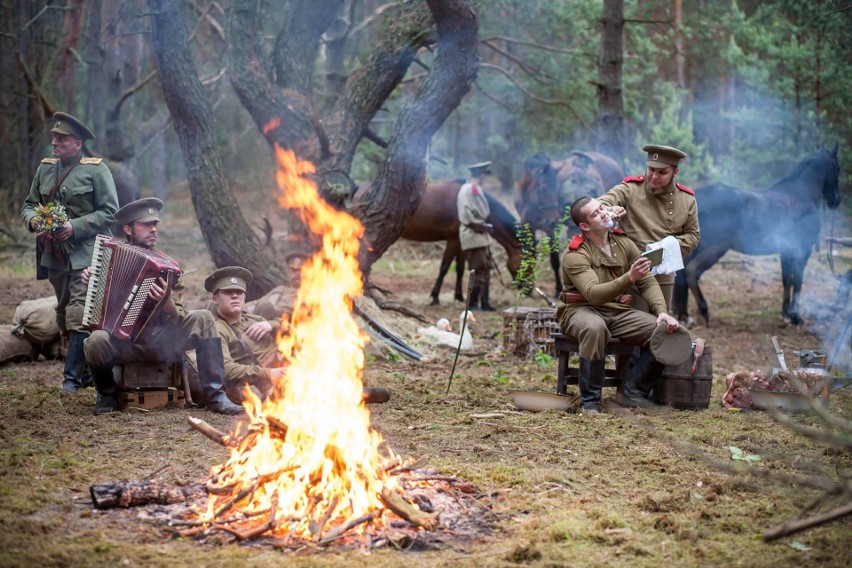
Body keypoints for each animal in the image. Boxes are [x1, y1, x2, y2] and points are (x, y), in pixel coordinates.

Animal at [512, 151, 624, 296]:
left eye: (557, 187)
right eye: (543, 185)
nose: (553, 219)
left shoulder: (550, 230)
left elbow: (554, 260)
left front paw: (557, 288)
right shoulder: (526, 225)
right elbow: (529, 254)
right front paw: (526, 285)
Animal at [676, 144, 844, 326]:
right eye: (837, 167)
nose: (836, 200)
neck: (800, 195)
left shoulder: (787, 252)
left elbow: (786, 280)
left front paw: (785, 313)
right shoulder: (802, 251)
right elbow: (797, 282)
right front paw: (796, 317)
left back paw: (683, 315)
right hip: (714, 248)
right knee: (692, 271)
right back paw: (703, 312)